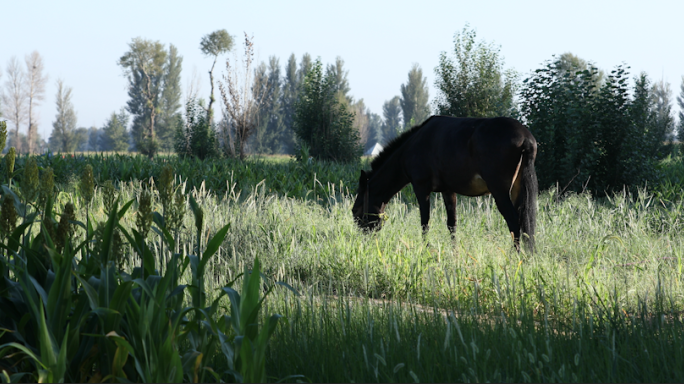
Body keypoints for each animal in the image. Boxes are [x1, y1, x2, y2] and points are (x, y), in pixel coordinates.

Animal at [352, 115, 540, 252]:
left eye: (356, 211)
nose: (363, 243)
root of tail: (526, 139)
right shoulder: (448, 190)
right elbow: (452, 224)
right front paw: (453, 251)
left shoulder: (421, 188)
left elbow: (425, 222)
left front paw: (425, 249)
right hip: (517, 190)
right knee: (525, 223)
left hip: (499, 192)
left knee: (514, 222)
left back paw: (515, 255)